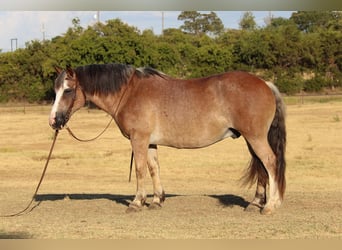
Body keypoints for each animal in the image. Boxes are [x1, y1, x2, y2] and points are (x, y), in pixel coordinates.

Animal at [48, 63, 286, 215]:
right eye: (55, 90)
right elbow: (154, 168)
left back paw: (271, 206)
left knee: (270, 163)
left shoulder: (139, 140)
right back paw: (256, 203)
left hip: (255, 138)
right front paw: (156, 200)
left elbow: (140, 170)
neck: (129, 92)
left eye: (67, 90)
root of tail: (265, 83)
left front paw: (137, 202)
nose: (53, 120)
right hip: (251, 139)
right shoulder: (150, 142)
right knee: (261, 167)